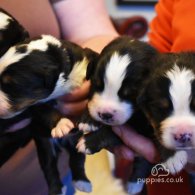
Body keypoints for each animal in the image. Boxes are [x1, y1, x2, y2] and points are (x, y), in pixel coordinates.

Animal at [0, 8, 97, 194]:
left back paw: (82, 182)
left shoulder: (86, 59)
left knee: (77, 157)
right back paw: (57, 189)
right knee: (49, 167)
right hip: (45, 144)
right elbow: (47, 111)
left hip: (76, 140)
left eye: (12, 86)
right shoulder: (35, 104)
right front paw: (61, 124)